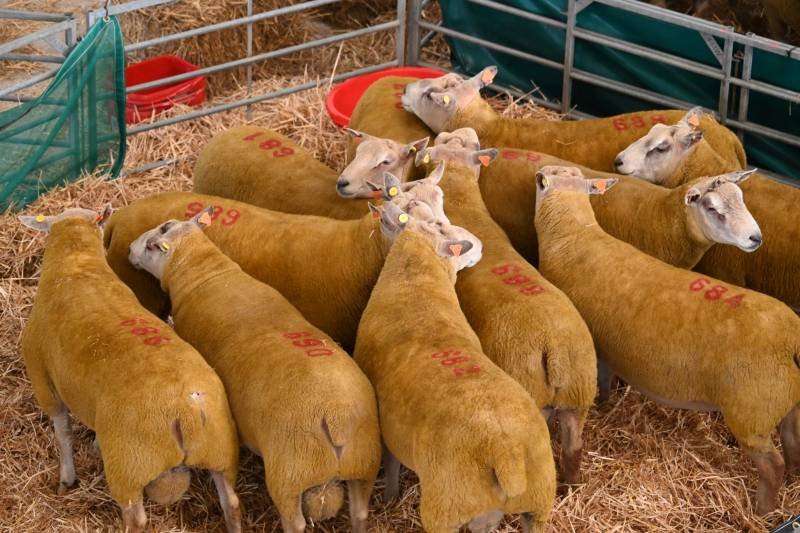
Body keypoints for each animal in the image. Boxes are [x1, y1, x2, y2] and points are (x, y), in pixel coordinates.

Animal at [18, 207, 241, 533]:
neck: (77, 267)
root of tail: (185, 409)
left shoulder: (43, 380)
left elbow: (63, 434)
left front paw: (67, 479)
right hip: (221, 451)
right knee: (232, 502)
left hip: (129, 467)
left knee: (136, 518)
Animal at [128, 210, 382, 532]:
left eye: (152, 243)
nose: (129, 250)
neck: (205, 272)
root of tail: (335, 419)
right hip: (364, 465)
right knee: (360, 512)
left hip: (289, 476)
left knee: (294, 521)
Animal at [354, 202, 556, 532]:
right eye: (442, 224)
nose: (480, 247)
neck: (416, 287)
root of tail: (507, 455)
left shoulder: (387, 427)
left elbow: (391, 463)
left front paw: (389, 497)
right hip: (538, 502)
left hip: (447, 509)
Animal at [533, 164, 800, 515]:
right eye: (713, 208)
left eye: (540, 184)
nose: (755, 238)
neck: (573, 236)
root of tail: (791, 339)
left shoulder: (597, 348)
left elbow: (603, 381)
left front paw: (603, 405)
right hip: (785, 402)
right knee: (794, 442)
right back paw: (793, 482)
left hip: (752, 413)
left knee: (772, 465)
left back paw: (762, 510)